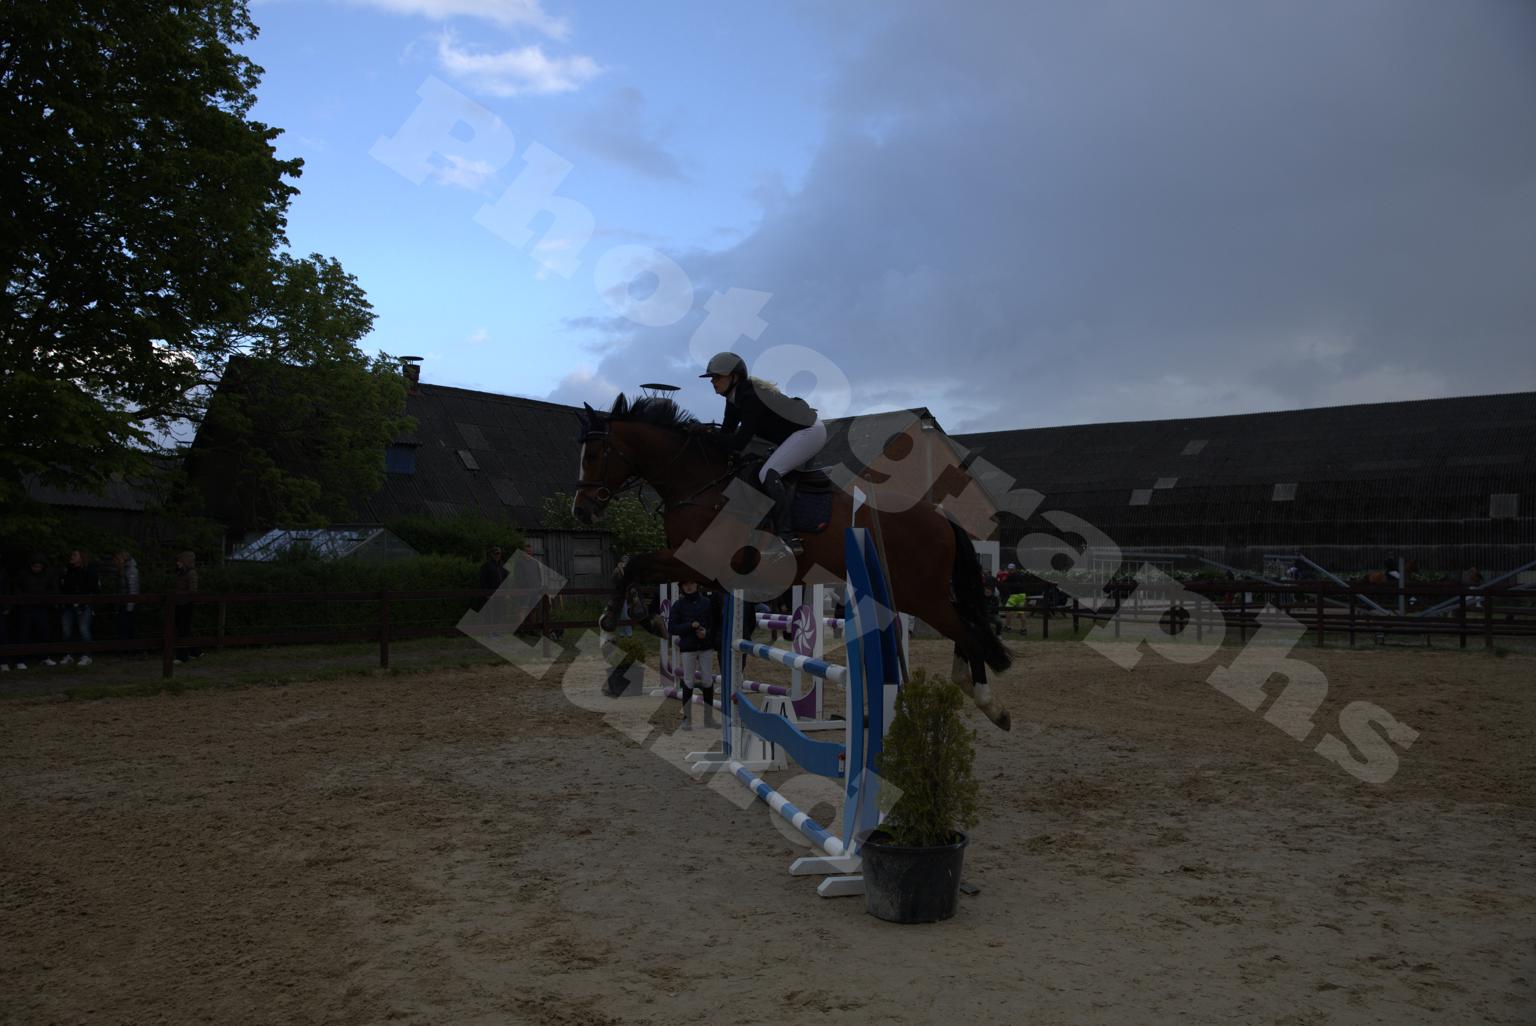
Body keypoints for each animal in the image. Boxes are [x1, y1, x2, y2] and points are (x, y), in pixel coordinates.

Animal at [572, 394, 1014, 731]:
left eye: (593, 455)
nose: (581, 510)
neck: (698, 484)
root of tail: (941, 517)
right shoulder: (697, 570)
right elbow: (630, 567)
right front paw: (626, 621)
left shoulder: (701, 565)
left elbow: (633, 566)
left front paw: (619, 623)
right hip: (909, 594)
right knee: (967, 625)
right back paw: (968, 687)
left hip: (922, 594)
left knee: (969, 630)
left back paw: (990, 704)